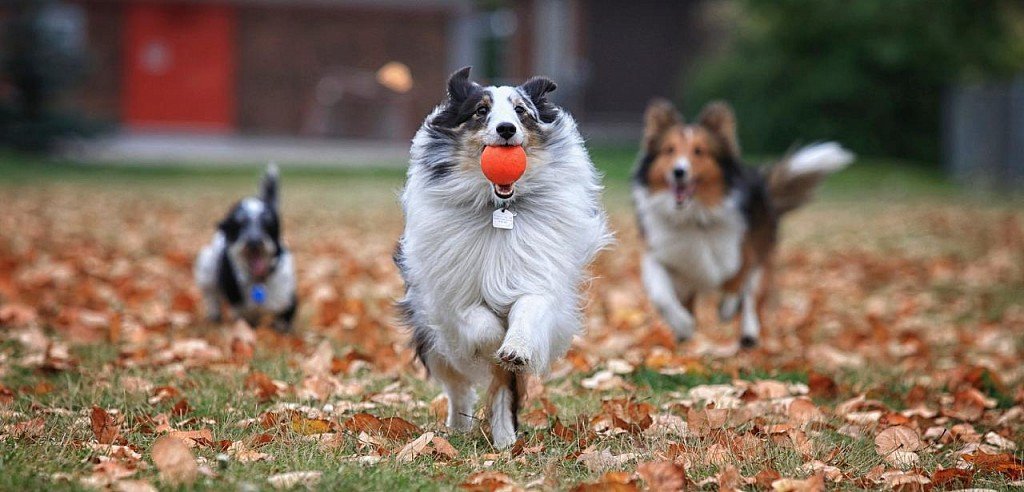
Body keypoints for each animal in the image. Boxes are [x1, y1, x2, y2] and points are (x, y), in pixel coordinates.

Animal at [193, 164, 296, 330]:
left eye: (268, 223)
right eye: (238, 225)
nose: (254, 242)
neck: (258, 281)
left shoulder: (286, 302)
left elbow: (282, 323)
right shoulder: (241, 311)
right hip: (206, 266)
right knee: (211, 296)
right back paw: (214, 315)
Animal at [395, 67, 606, 446]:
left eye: (521, 111)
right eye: (481, 110)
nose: (506, 129)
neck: (498, 206)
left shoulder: (538, 276)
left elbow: (528, 310)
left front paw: (514, 347)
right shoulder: (451, 297)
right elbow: (479, 325)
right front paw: (495, 339)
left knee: (503, 391)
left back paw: (506, 440)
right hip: (433, 342)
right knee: (458, 388)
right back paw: (458, 428)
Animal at [634, 98, 851, 346]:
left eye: (699, 151)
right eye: (669, 150)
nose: (679, 172)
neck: (694, 216)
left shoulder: (739, 249)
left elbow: (736, 278)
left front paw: (728, 308)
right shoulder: (660, 253)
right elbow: (661, 295)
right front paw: (683, 325)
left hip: (763, 254)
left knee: (752, 295)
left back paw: (748, 331)